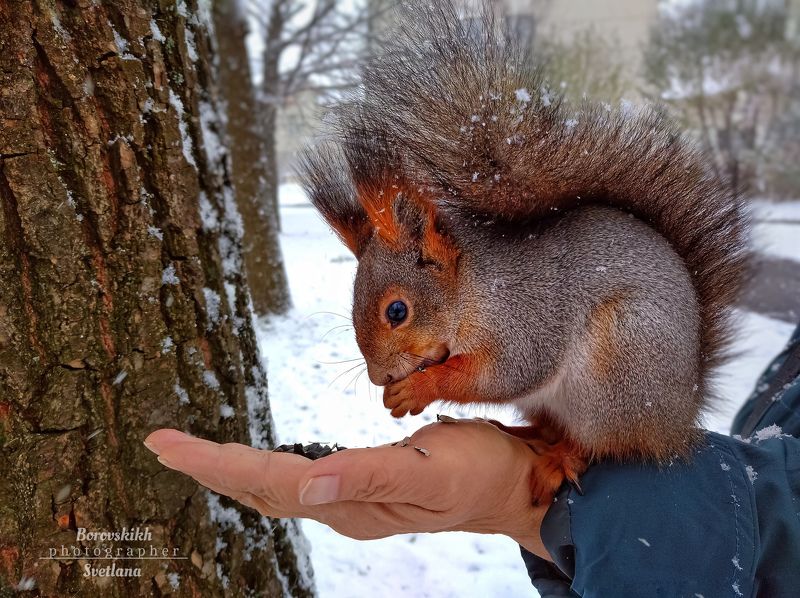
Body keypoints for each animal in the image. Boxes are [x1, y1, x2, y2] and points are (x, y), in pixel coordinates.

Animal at [298, 1, 750, 503]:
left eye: (397, 311)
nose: (378, 378)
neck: (472, 289)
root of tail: (679, 421)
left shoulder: (527, 319)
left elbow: (504, 373)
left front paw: (417, 389)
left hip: (618, 369)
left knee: (599, 443)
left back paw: (559, 460)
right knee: (553, 428)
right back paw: (516, 432)